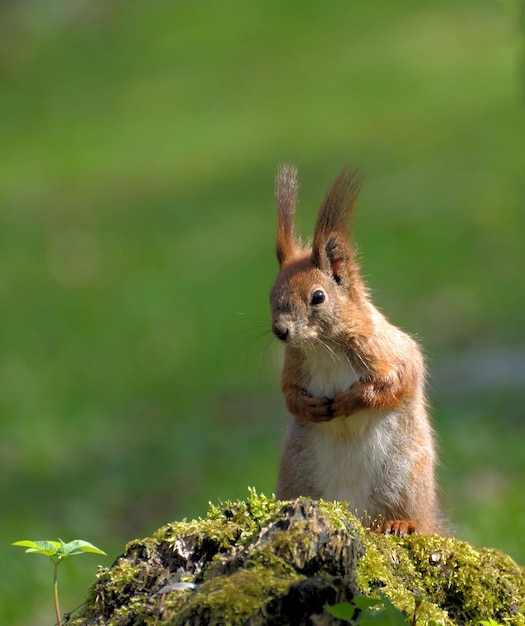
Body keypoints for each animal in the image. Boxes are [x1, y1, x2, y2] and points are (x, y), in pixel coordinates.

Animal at [270, 163, 442, 532]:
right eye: (270, 294)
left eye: (318, 297)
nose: (281, 331)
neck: (321, 345)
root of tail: (357, 515)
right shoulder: (294, 363)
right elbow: (288, 393)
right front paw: (308, 407)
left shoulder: (385, 349)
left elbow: (398, 381)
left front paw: (352, 400)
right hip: (297, 474)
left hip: (404, 478)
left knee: (408, 516)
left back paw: (400, 524)